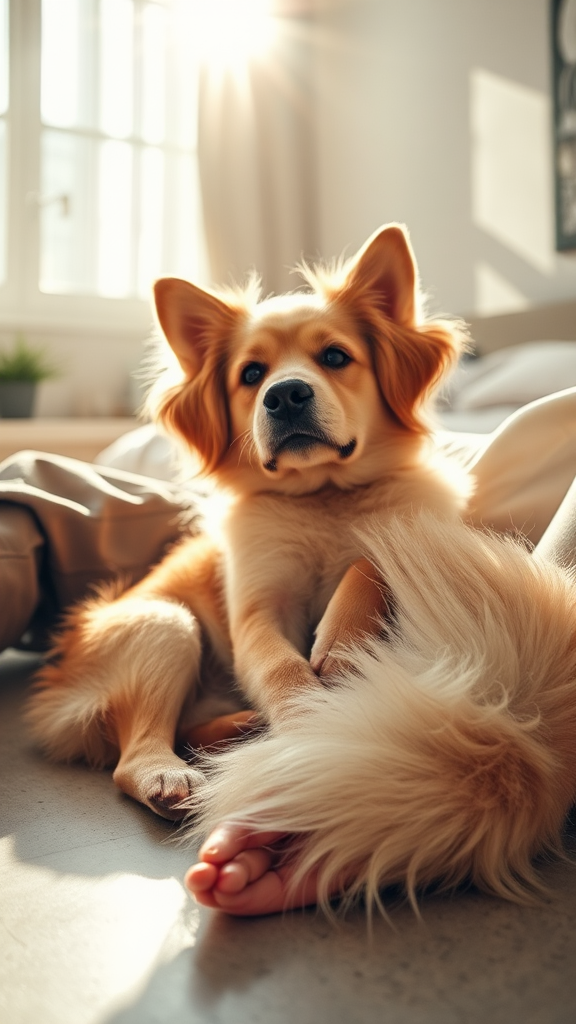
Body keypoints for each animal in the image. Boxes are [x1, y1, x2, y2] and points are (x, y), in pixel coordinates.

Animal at [24, 226, 469, 823]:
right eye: (251, 375)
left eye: (335, 356)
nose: (285, 394)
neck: (321, 496)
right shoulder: (257, 610)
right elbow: (283, 668)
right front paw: (309, 724)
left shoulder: (423, 524)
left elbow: (372, 554)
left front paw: (341, 640)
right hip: (165, 625)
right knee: (132, 758)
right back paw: (171, 774)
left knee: (185, 730)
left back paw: (243, 728)